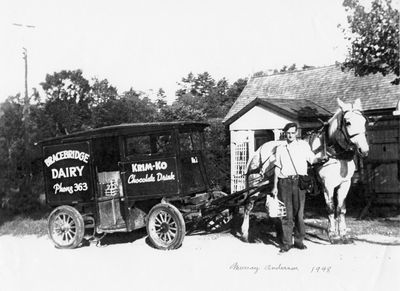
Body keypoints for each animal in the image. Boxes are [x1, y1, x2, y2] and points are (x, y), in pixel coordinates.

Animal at [241, 99, 368, 245]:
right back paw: (244, 233)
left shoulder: (345, 184)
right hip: (255, 187)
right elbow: (330, 209)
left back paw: (280, 234)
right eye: (348, 122)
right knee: (248, 205)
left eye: (364, 121)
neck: (334, 154)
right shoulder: (328, 186)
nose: (364, 150)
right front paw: (333, 235)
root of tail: (257, 151)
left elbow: (341, 209)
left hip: (270, 187)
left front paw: (344, 235)